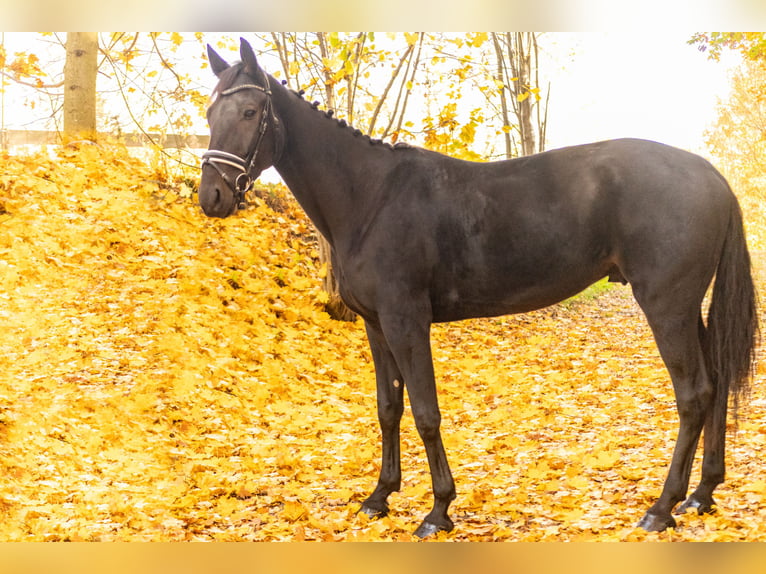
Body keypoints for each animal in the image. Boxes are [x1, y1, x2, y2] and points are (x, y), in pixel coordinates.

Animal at [198, 37, 760, 540]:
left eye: (249, 110)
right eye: (209, 112)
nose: (212, 197)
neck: (371, 197)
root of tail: (710, 175)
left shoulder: (406, 320)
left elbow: (425, 412)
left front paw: (438, 511)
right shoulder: (377, 325)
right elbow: (388, 408)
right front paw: (379, 498)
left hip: (667, 305)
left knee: (694, 394)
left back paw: (661, 509)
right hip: (689, 309)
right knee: (714, 385)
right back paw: (701, 495)